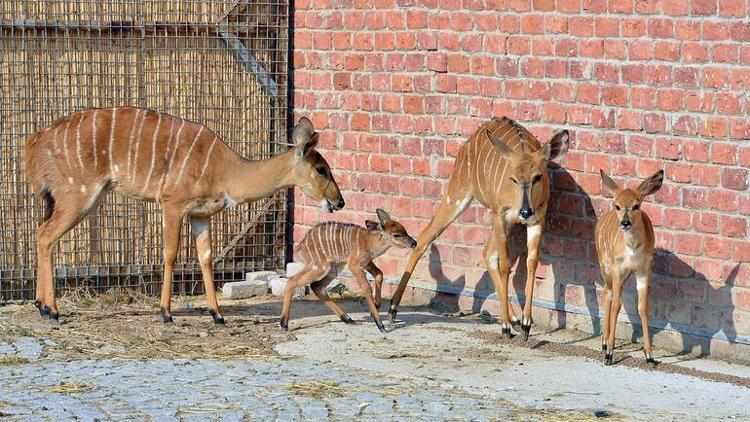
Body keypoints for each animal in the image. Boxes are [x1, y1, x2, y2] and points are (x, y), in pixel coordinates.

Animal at [23, 107, 346, 322]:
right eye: (321, 169)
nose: (339, 201)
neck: (225, 170)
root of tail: (36, 141)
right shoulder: (172, 203)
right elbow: (170, 254)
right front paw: (166, 312)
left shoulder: (200, 214)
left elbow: (206, 258)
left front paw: (217, 314)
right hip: (78, 196)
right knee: (46, 235)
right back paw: (52, 310)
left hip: (64, 199)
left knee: (39, 230)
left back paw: (41, 305)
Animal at [280, 209, 418, 332]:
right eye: (396, 235)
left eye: (405, 230)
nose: (414, 243)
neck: (369, 243)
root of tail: (301, 246)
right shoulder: (354, 266)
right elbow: (366, 288)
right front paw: (380, 324)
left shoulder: (366, 263)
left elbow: (380, 274)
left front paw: (376, 306)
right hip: (320, 267)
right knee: (293, 281)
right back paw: (284, 324)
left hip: (333, 267)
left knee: (316, 286)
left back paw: (347, 318)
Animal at [388, 116, 568, 340]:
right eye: (513, 178)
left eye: (538, 176)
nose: (525, 211)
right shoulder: (501, 216)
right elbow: (505, 265)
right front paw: (505, 326)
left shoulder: (537, 219)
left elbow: (531, 262)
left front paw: (526, 324)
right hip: (457, 195)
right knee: (425, 237)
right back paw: (393, 308)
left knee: (487, 252)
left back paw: (514, 319)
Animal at [600, 168, 664, 366]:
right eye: (617, 205)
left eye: (636, 205)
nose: (625, 223)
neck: (633, 248)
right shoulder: (618, 271)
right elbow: (617, 306)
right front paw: (609, 354)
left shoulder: (644, 272)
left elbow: (643, 307)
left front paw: (649, 355)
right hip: (605, 268)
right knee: (607, 294)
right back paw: (604, 343)